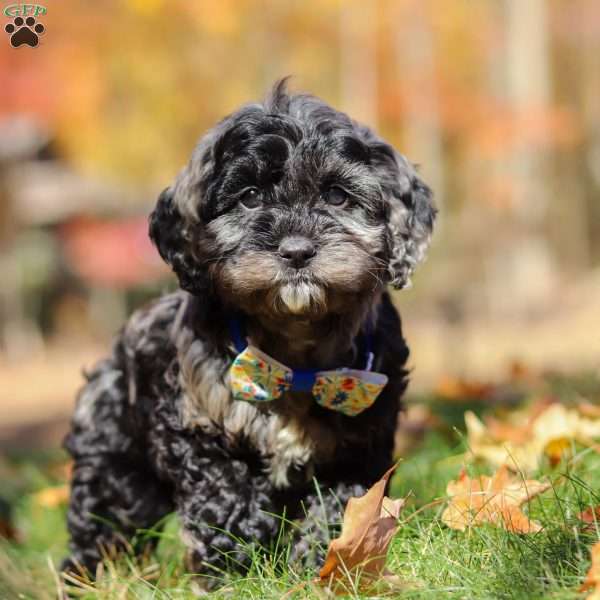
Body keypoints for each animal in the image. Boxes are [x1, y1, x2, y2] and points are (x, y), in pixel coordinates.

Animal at [61, 78, 436, 584]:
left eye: (337, 196)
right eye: (250, 196)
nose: (296, 251)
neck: (295, 353)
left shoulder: (362, 435)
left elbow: (339, 504)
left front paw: (321, 563)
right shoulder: (201, 428)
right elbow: (225, 502)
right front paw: (236, 568)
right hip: (114, 456)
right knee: (107, 516)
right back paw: (89, 576)